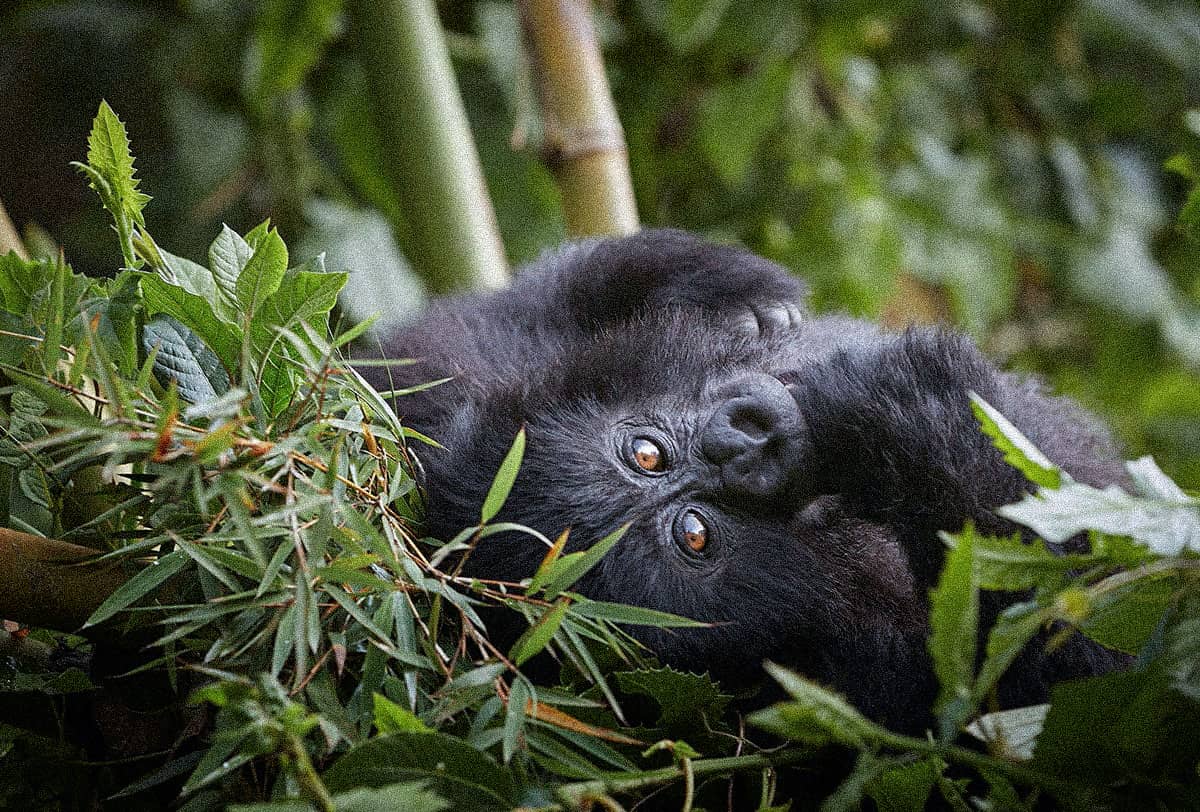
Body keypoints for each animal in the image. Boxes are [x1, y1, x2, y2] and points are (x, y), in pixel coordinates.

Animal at [360, 226, 1128, 729]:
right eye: (695, 535)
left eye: (646, 454)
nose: (741, 448)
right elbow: (1054, 674)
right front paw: (906, 426)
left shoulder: (456, 372)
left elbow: (525, 305)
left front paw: (717, 287)